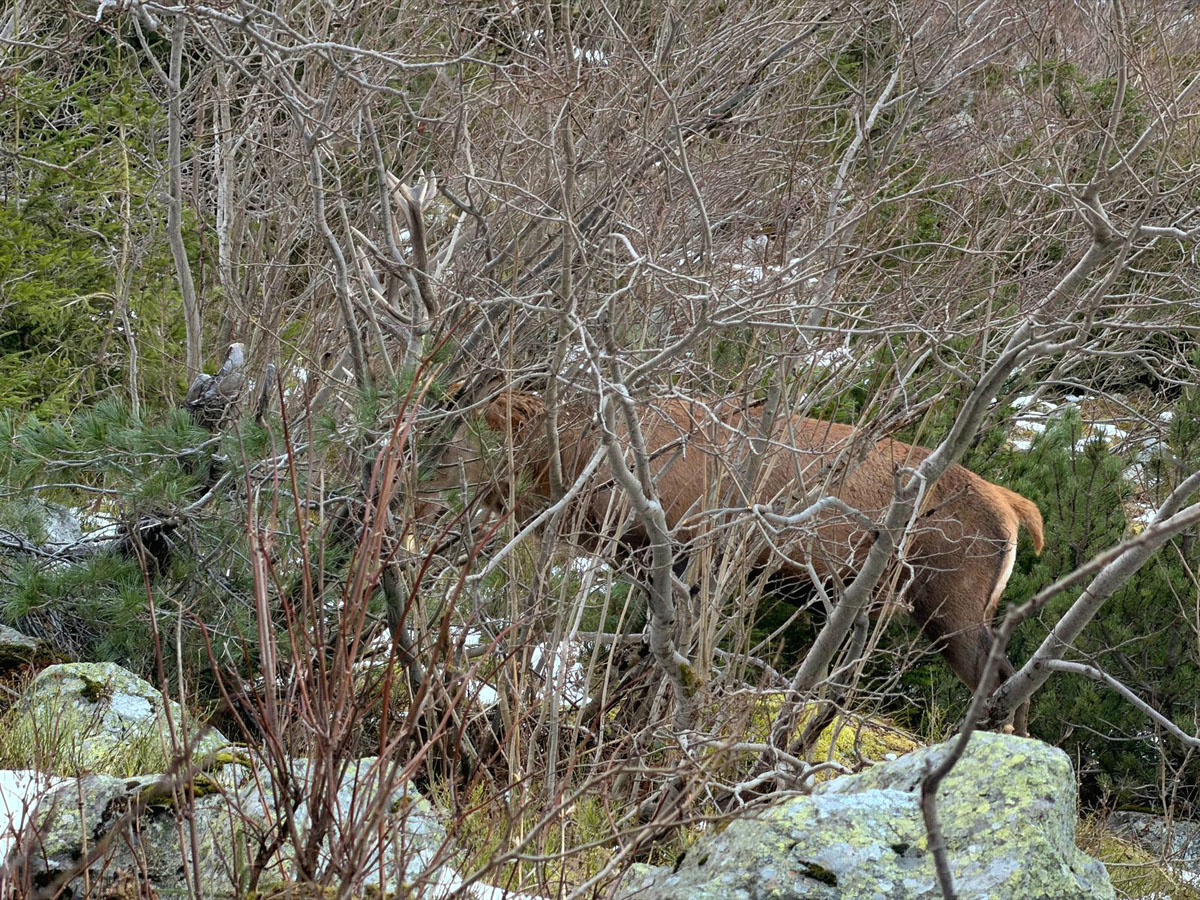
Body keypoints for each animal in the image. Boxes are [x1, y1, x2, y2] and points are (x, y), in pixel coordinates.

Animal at [420, 388, 1043, 733]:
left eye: (459, 437)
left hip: (949, 602)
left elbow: (652, 660)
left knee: (1002, 681)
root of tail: (1018, 511)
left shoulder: (687, 553)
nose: (413, 481)